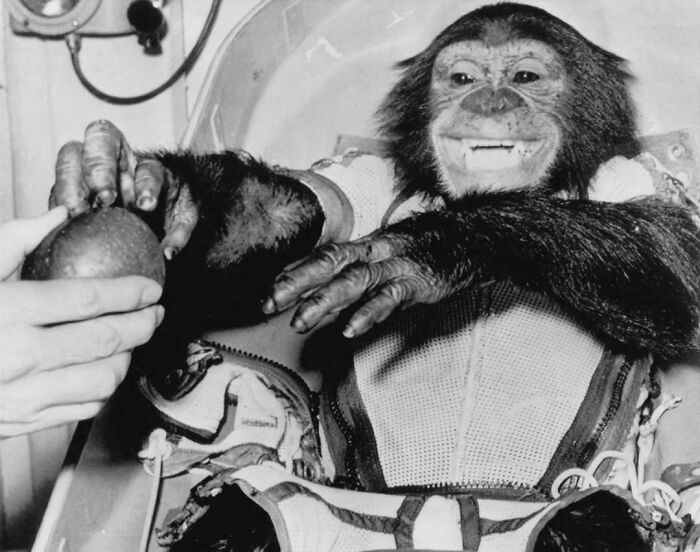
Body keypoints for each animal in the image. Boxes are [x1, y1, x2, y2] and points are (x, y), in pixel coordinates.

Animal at [49, 3, 700, 550]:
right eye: (461, 79)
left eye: (525, 77)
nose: (488, 103)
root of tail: (439, 504)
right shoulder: (359, 179)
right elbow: (286, 209)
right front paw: (172, 200)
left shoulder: (636, 177)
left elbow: (677, 258)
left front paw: (432, 247)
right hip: (311, 509)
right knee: (239, 518)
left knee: (590, 524)